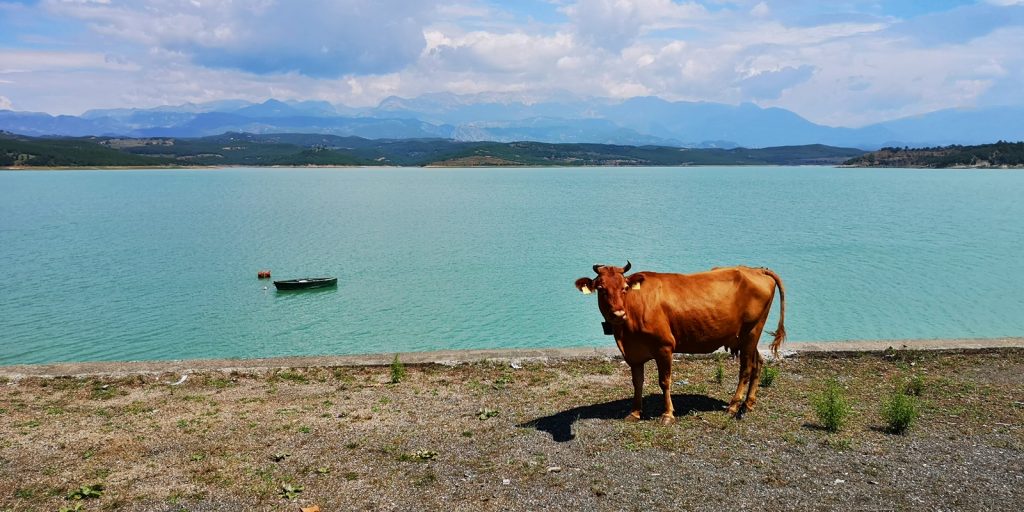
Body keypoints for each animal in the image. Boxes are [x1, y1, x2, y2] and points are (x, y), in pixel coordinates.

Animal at [577, 260, 782, 423]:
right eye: (601, 289)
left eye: (624, 288)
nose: (618, 314)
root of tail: (756, 270)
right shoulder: (633, 352)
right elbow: (637, 382)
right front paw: (635, 413)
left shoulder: (664, 346)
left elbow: (664, 381)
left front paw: (667, 415)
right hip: (745, 337)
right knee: (758, 363)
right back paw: (748, 404)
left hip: (751, 331)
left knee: (746, 369)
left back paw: (733, 406)